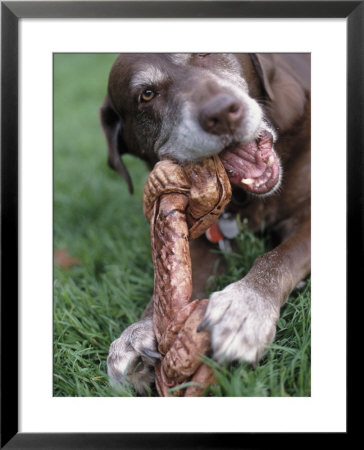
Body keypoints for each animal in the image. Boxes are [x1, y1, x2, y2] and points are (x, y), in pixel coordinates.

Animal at [101, 53, 312, 394]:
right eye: (147, 94)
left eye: (205, 53)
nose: (222, 112)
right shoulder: (197, 238)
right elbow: (170, 283)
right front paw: (139, 331)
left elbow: (279, 255)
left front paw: (244, 306)